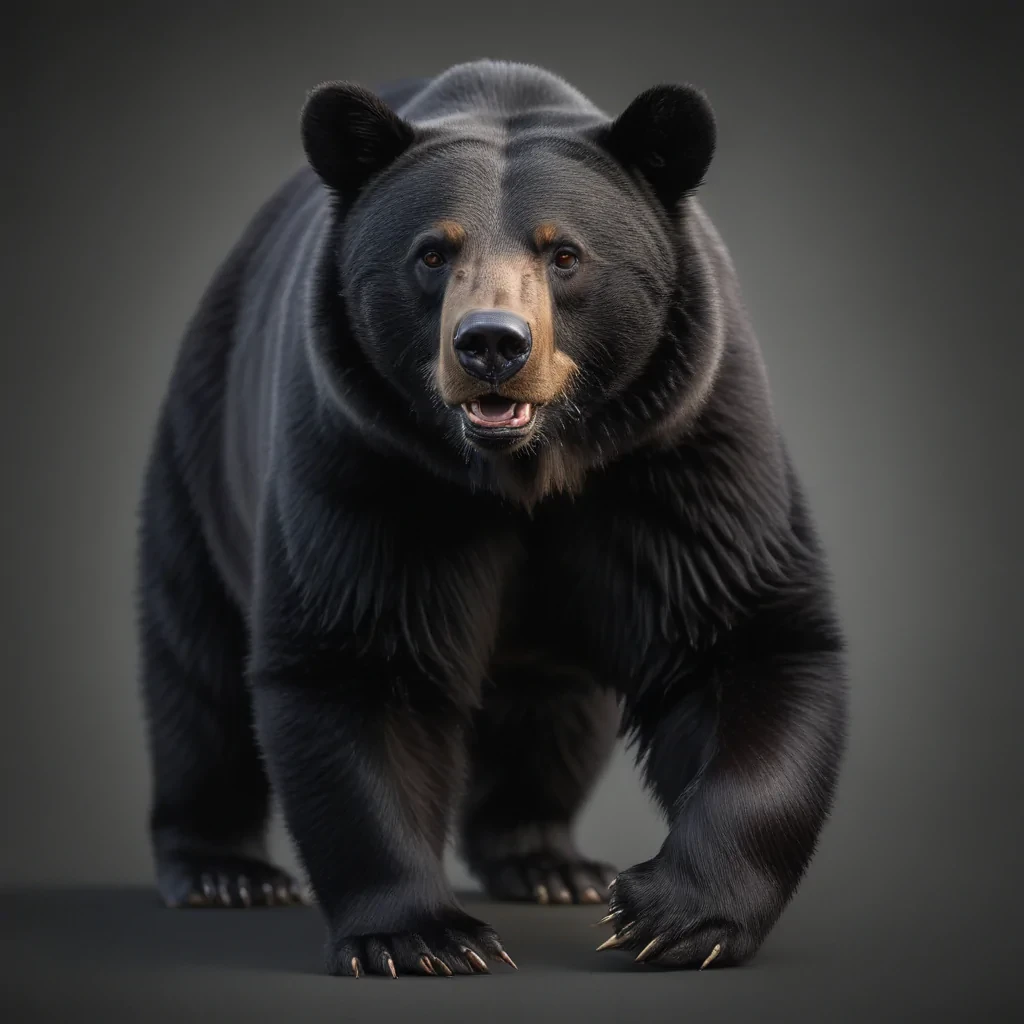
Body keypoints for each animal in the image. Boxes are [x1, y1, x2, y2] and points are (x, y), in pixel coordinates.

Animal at [135, 58, 848, 978]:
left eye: (566, 253)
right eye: (432, 252)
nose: (492, 345)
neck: (525, 470)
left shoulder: (680, 450)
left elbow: (743, 636)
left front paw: (673, 913)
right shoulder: (368, 461)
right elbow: (360, 658)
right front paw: (420, 936)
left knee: (553, 714)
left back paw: (549, 861)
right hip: (202, 453)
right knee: (198, 668)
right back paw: (224, 870)